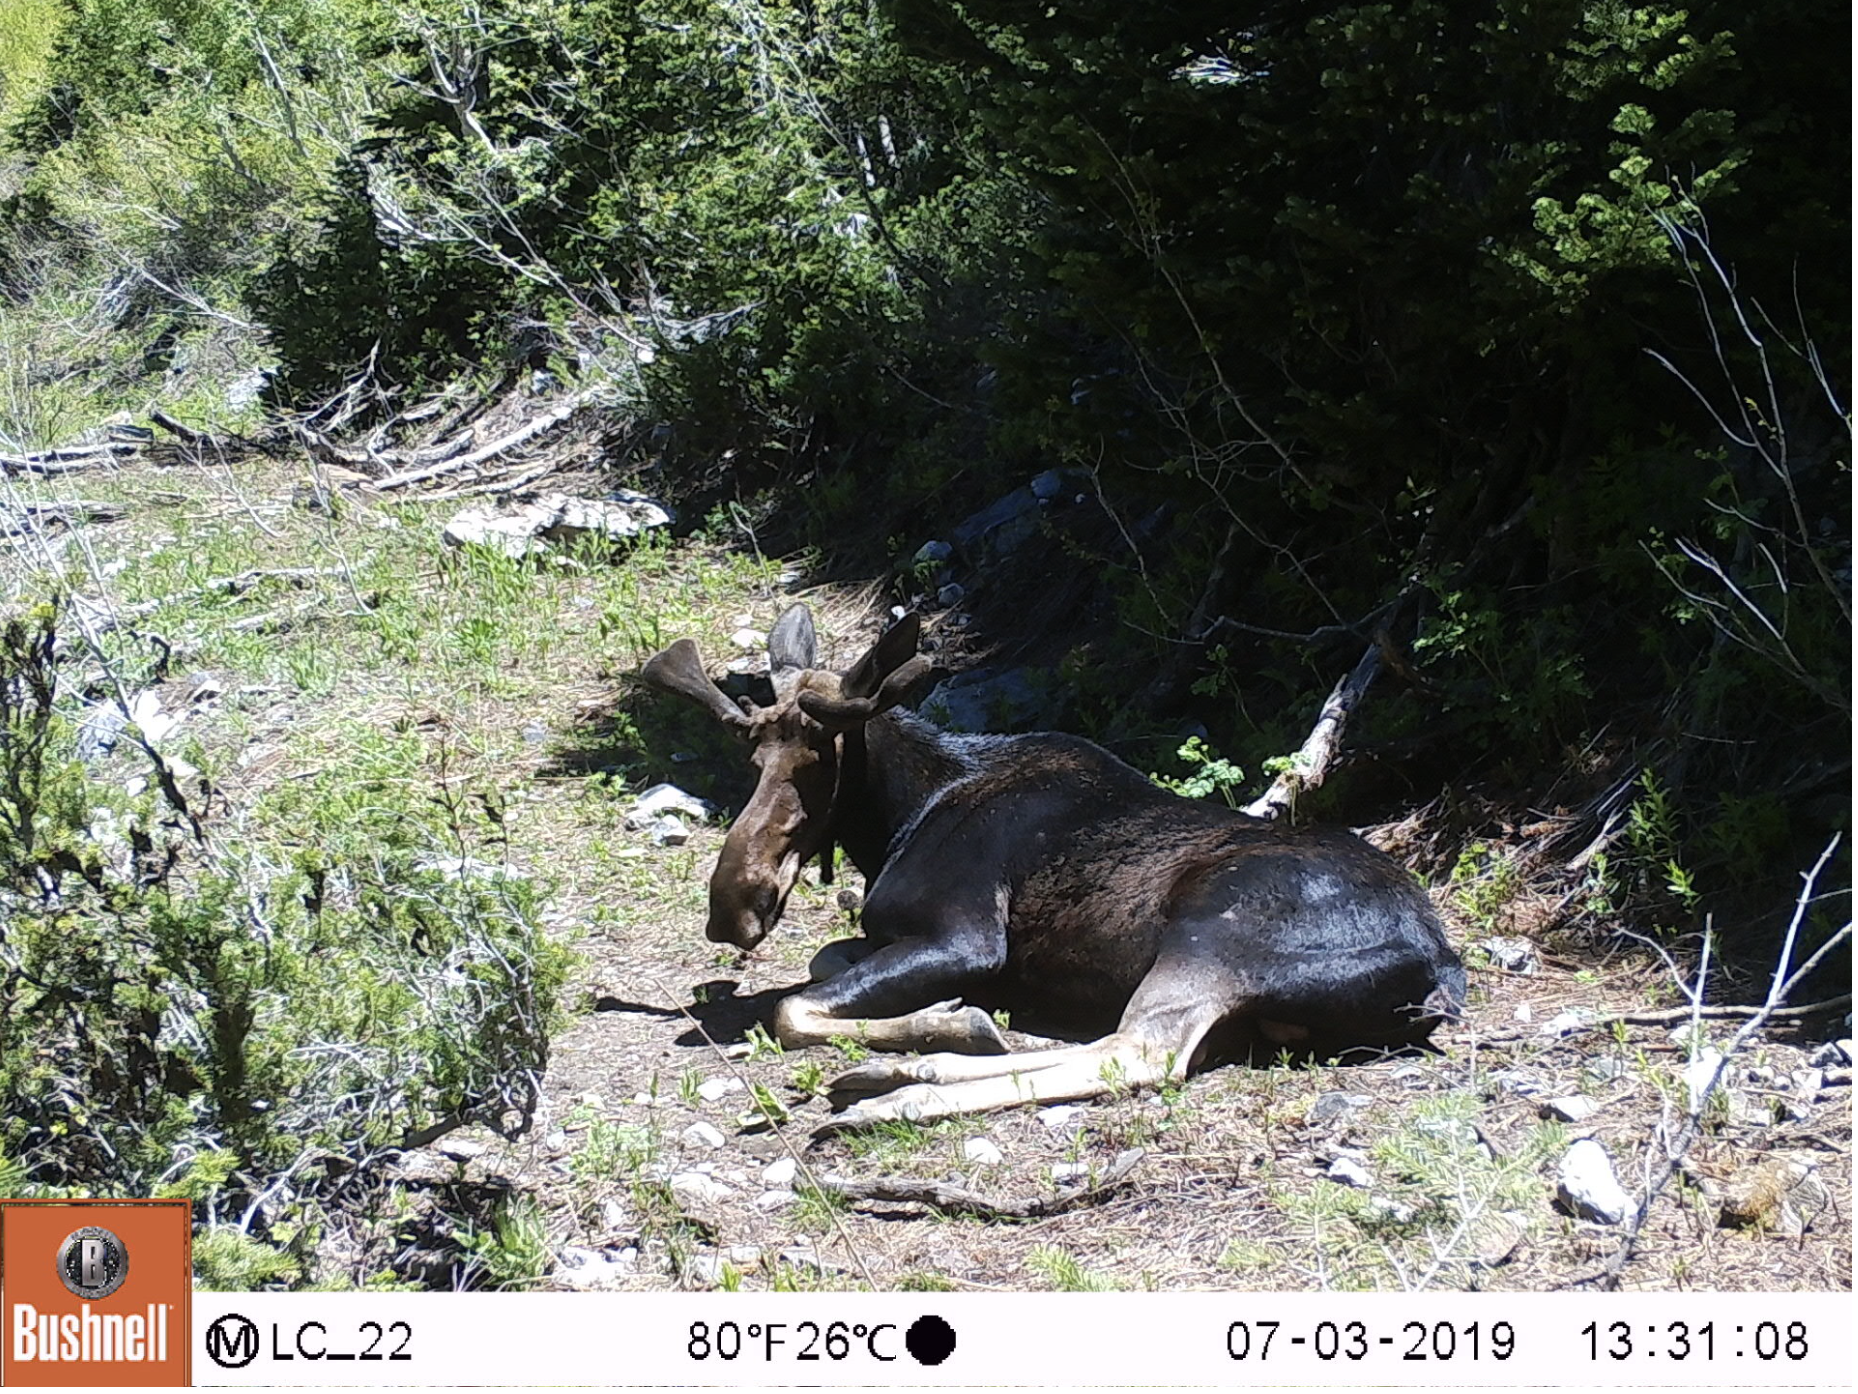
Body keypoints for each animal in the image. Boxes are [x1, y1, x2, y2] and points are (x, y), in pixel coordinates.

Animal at [639, 603, 1465, 1128]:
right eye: (753, 759)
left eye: (819, 762)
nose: (734, 905)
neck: (904, 813)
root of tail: (1441, 967)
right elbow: (821, 963)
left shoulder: (967, 935)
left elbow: (789, 1007)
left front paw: (954, 1018)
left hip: (1214, 936)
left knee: (1138, 1052)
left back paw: (903, 1085)